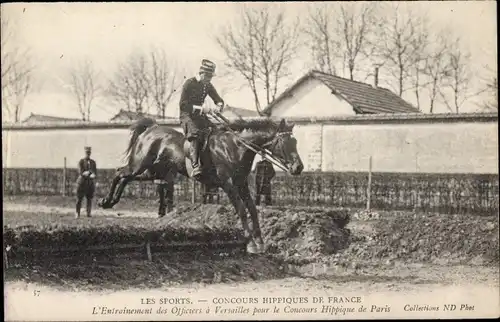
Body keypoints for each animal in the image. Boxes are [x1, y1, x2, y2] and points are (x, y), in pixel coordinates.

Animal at [95, 115, 302, 254]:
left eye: (296, 141)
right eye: (285, 142)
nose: (299, 167)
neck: (235, 147)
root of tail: (151, 128)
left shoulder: (241, 183)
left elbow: (252, 209)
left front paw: (260, 242)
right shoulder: (228, 185)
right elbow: (242, 210)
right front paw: (251, 243)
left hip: (152, 172)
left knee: (126, 178)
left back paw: (111, 201)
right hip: (139, 165)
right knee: (119, 173)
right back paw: (105, 201)